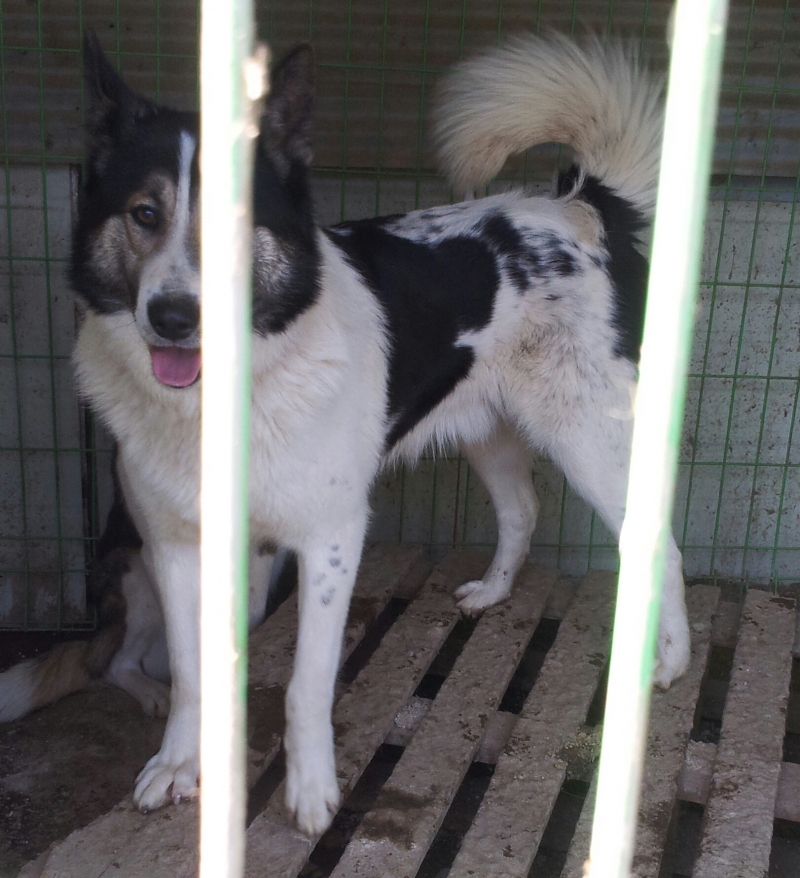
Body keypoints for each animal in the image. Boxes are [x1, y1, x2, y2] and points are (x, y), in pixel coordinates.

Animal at [37, 30, 690, 835]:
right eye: (144, 213)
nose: (173, 317)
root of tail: (579, 206)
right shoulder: (174, 547)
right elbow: (191, 675)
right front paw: (179, 765)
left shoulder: (331, 539)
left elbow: (307, 685)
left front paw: (312, 791)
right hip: (489, 428)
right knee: (522, 510)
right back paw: (494, 593)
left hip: (589, 435)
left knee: (658, 542)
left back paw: (670, 661)